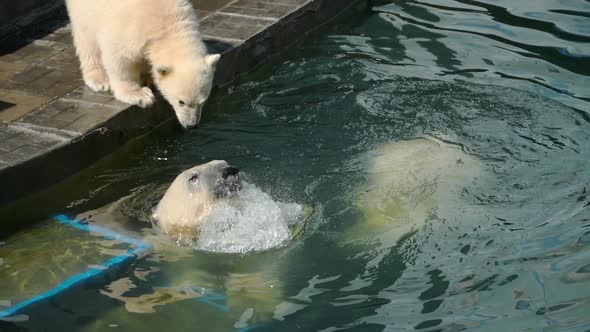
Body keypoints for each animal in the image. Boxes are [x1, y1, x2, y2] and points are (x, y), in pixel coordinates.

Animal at [65, 0, 222, 128]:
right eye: (181, 102)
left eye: (203, 101)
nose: (191, 125)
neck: (168, 25)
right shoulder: (129, 28)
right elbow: (119, 59)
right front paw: (141, 96)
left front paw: (147, 78)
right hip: (86, 10)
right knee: (87, 40)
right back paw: (99, 79)